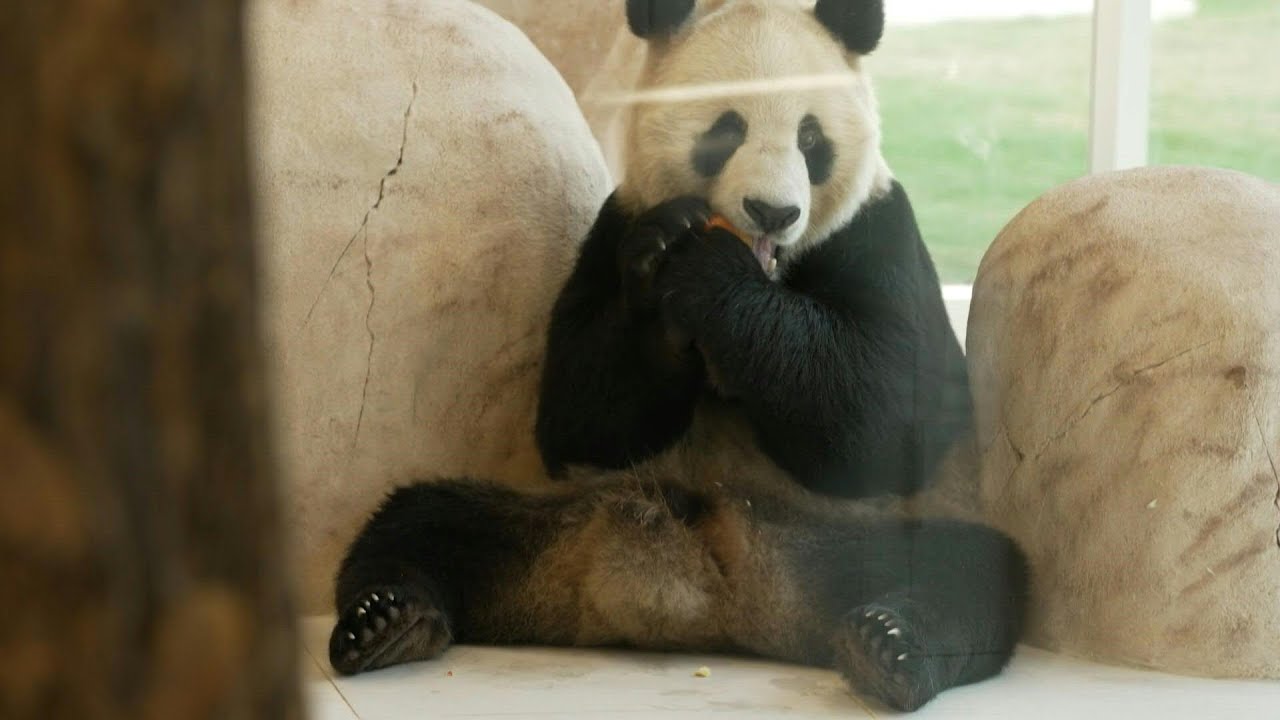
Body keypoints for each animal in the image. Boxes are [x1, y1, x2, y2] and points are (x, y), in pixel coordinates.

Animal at [327, 0, 1029, 712]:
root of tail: (705, 600)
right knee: (420, 522)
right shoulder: (614, 225)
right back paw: (389, 620)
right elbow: (577, 416)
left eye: (811, 139)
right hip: (546, 513)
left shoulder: (878, 232)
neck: (770, 269)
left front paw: (715, 278)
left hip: (840, 536)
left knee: (963, 569)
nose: (773, 212)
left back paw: (887, 645)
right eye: (726, 130)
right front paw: (670, 253)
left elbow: (885, 424)